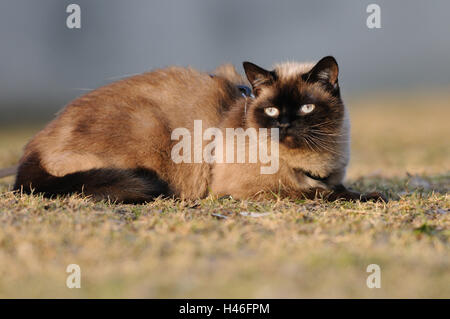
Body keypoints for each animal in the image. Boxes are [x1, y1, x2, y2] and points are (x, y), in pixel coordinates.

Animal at [14, 56, 386, 204]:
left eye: (306, 108)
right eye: (271, 111)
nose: (284, 124)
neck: (315, 163)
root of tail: (33, 148)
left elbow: (337, 187)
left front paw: (368, 194)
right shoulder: (252, 188)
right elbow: (320, 192)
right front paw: (369, 196)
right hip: (151, 131)